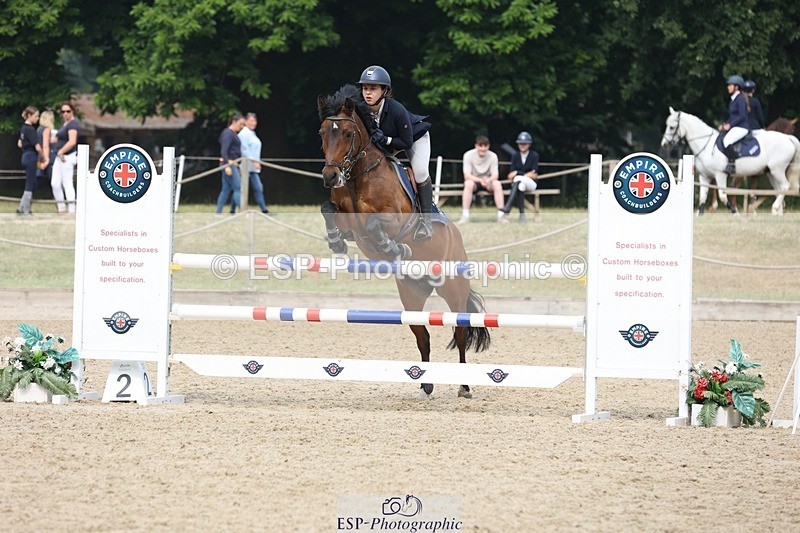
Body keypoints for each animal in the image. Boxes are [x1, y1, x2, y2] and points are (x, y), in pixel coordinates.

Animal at [316, 84, 490, 399]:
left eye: (347, 134)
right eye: (322, 132)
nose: (330, 176)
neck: (357, 176)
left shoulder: (394, 220)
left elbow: (376, 225)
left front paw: (393, 247)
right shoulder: (348, 223)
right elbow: (328, 211)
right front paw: (336, 243)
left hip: (454, 290)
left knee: (460, 333)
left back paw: (464, 386)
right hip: (411, 295)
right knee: (424, 338)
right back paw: (425, 385)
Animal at [660, 107, 800, 215]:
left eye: (672, 127)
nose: (664, 145)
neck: (706, 144)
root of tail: (788, 138)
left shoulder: (720, 175)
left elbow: (723, 195)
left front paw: (735, 212)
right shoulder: (704, 177)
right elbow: (702, 198)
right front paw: (700, 215)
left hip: (777, 170)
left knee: (785, 186)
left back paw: (775, 208)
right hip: (771, 173)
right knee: (779, 189)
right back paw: (778, 212)